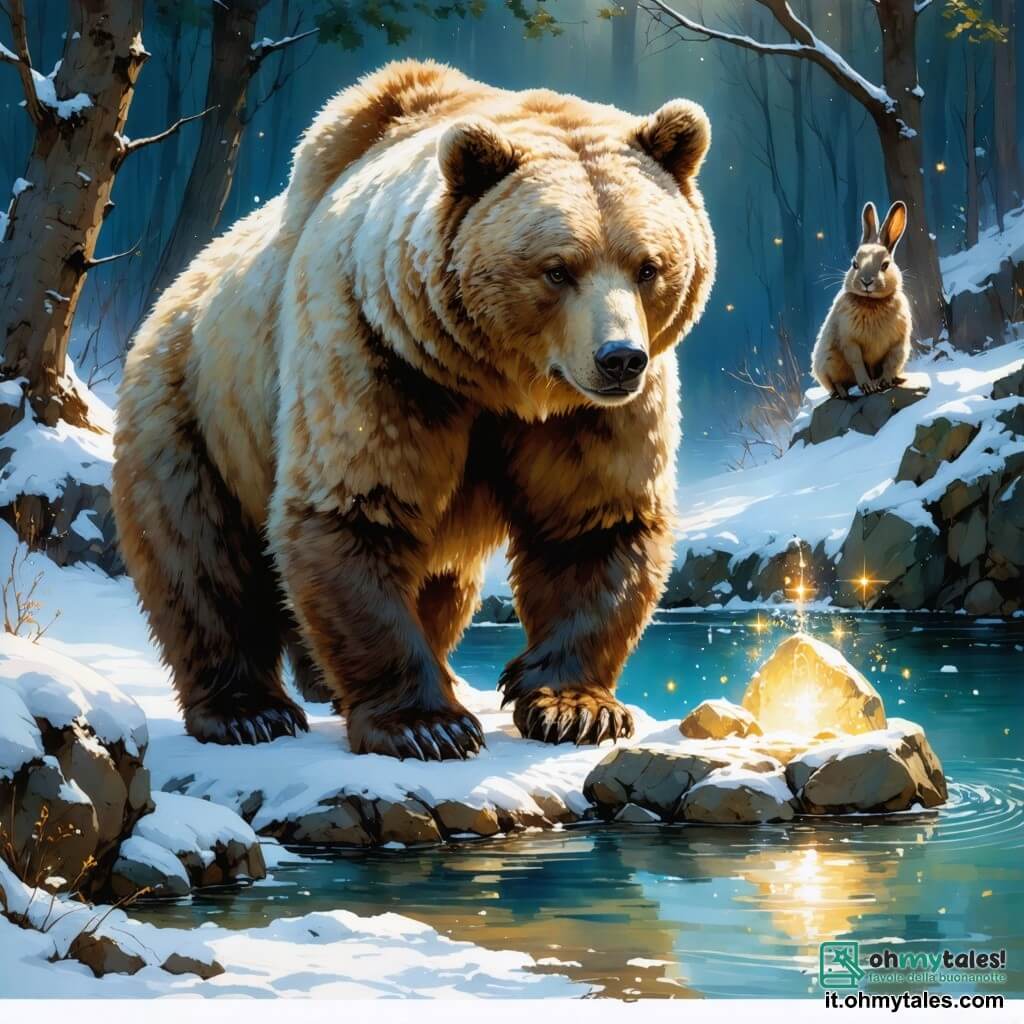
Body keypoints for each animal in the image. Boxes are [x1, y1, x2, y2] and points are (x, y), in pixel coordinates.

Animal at [112, 60, 716, 761]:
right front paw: (427, 725)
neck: (500, 381)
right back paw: (247, 710)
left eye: (649, 266)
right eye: (557, 269)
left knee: (442, 583)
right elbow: (356, 507)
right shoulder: (379, 352)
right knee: (202, 559)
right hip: (194, 408)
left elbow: (595, 523)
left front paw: (576, 709)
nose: (619, 358)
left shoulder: (586, 416)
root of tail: (175, 289)